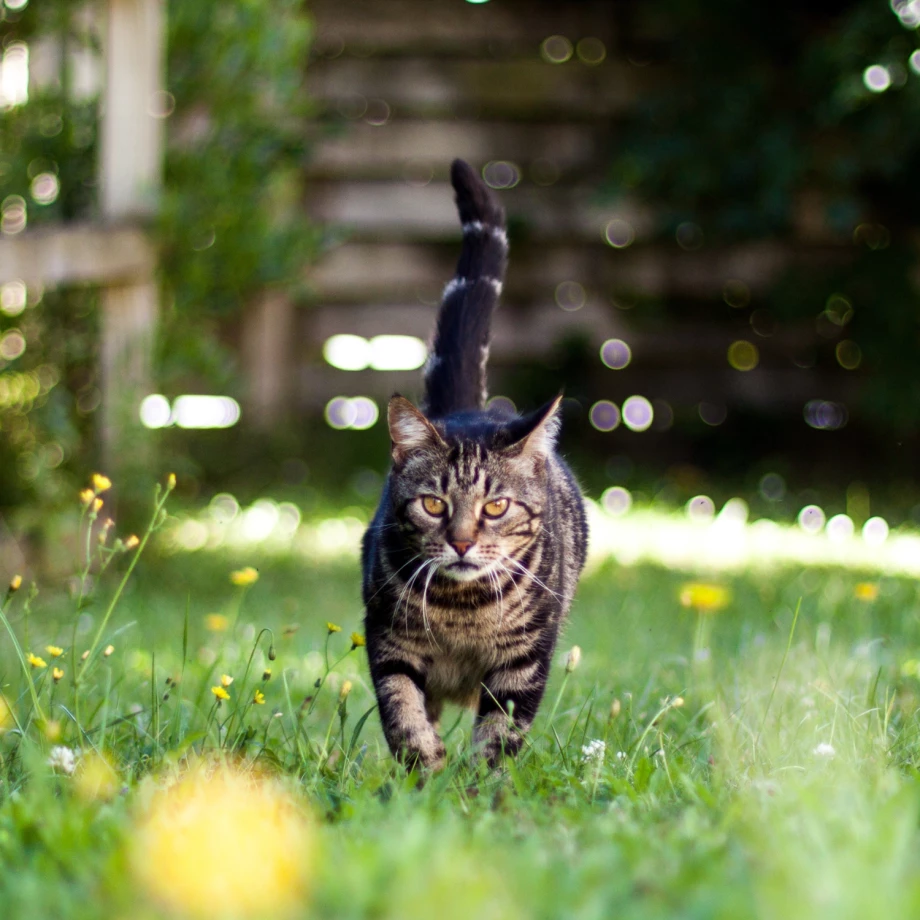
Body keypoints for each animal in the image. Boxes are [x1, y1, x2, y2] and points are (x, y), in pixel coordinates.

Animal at [362, 158, 588, 768]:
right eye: (434, 504)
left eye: (496, 507)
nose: (462, 542)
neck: (462, 610)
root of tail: (466, 408)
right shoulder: (388, 642)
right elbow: (404, 714)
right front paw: (423, 773)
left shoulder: (523, 662)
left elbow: (498, 740)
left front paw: (478, 787)